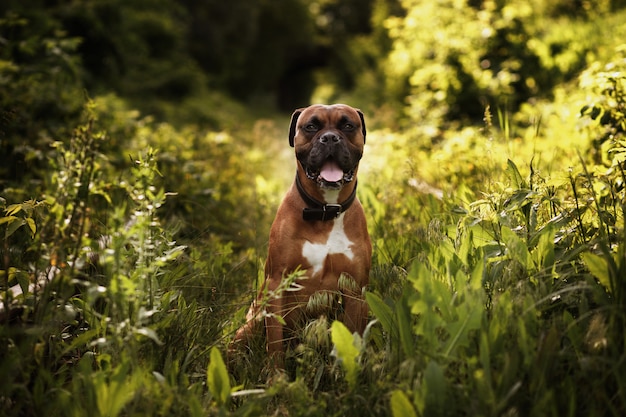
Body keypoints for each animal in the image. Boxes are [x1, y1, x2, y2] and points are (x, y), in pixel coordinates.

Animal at [233, 103, 370, 368]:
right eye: (311, 126)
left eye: (348, 125)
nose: (330, 138)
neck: (325, 211)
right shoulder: (276, 283)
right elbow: (275, 342)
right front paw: (276, 376)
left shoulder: (354, 289)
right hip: (252, 321)